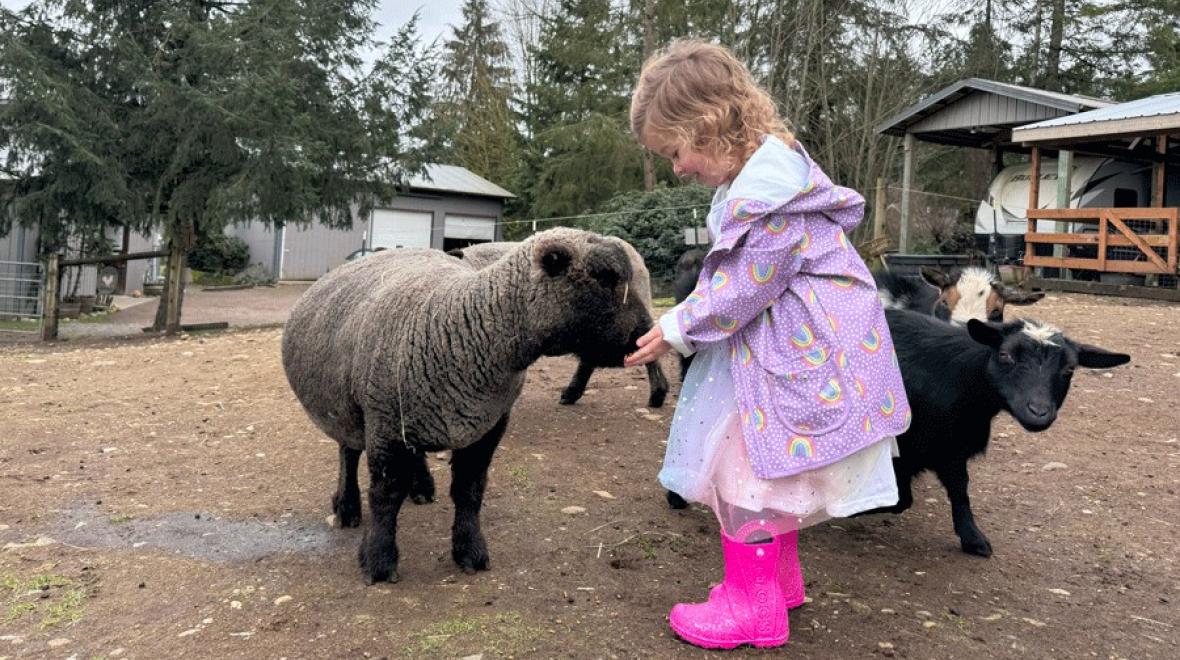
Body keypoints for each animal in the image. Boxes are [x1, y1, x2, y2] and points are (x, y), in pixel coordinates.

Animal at [861, 309, 1131, 556]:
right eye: (1005, 355)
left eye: (1070, 368)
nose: (1038, 412)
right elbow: (897, 498)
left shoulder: (951, 447)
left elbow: (956, 491)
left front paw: (973, 539)